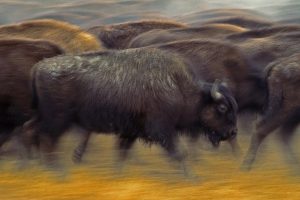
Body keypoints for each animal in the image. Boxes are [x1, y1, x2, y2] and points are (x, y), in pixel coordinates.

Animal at [19, 48, 238, 173]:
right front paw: (192, 180)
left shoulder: (131, 132)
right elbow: (179, 154)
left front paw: (117, 175)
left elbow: (121, 154)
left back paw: (34, 167)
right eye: (222, 107)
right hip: (58, 119)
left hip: (43, 115)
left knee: (30, 130)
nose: (233, 132)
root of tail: (38, 67)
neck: (178, 86)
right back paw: (56, 171)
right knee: (46, 139)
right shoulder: (162, 131)